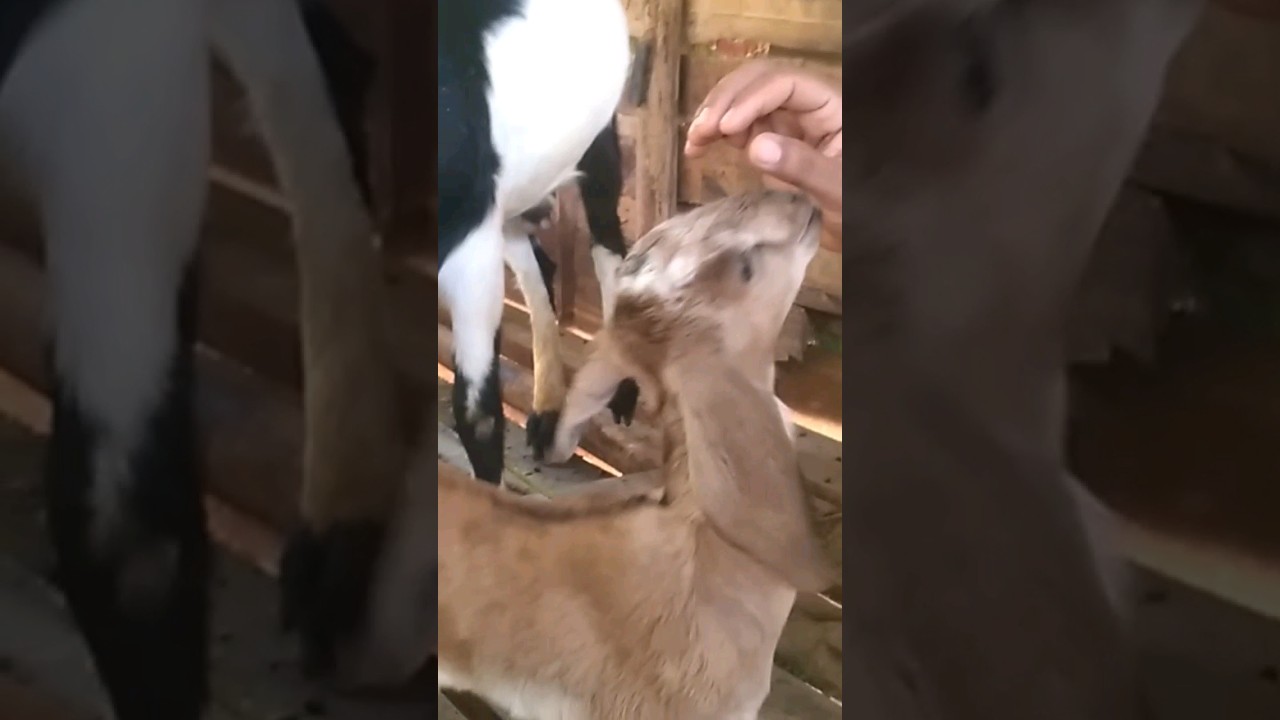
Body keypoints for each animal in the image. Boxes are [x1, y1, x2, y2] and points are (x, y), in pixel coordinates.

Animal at [438, 0, 636, 487]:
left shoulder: (469, 239)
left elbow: (478, 415)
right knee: (539, 268)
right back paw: (547, 411)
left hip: (598, 142)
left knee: (608, 243)